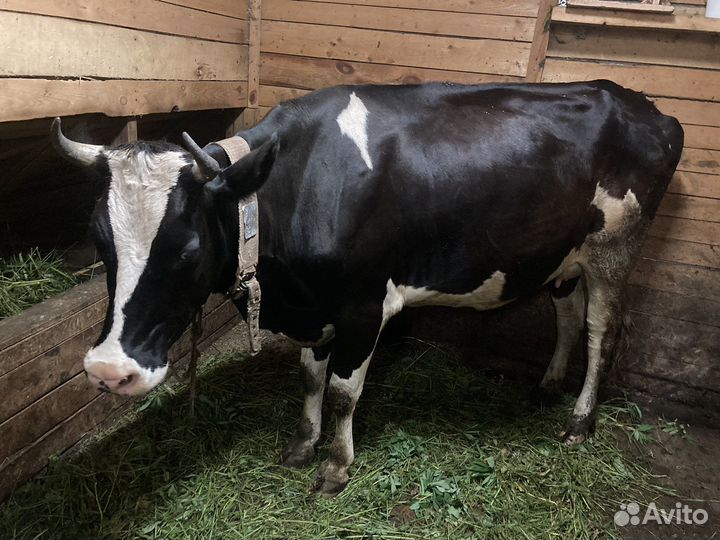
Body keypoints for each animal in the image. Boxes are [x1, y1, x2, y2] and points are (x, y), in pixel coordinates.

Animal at [51, 80, 683, 496]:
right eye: (101, 242)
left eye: (186, 248)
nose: (108, 371)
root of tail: (641, 103)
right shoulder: (315, 307)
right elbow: (309, 378)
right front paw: (301, 446)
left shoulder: (363, 306)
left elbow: (342, 391)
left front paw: (334, 467)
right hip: (561, 255)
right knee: (568, 316)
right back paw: (548, 385)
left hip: (615, 247)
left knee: (602, 331)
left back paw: (579, 421)